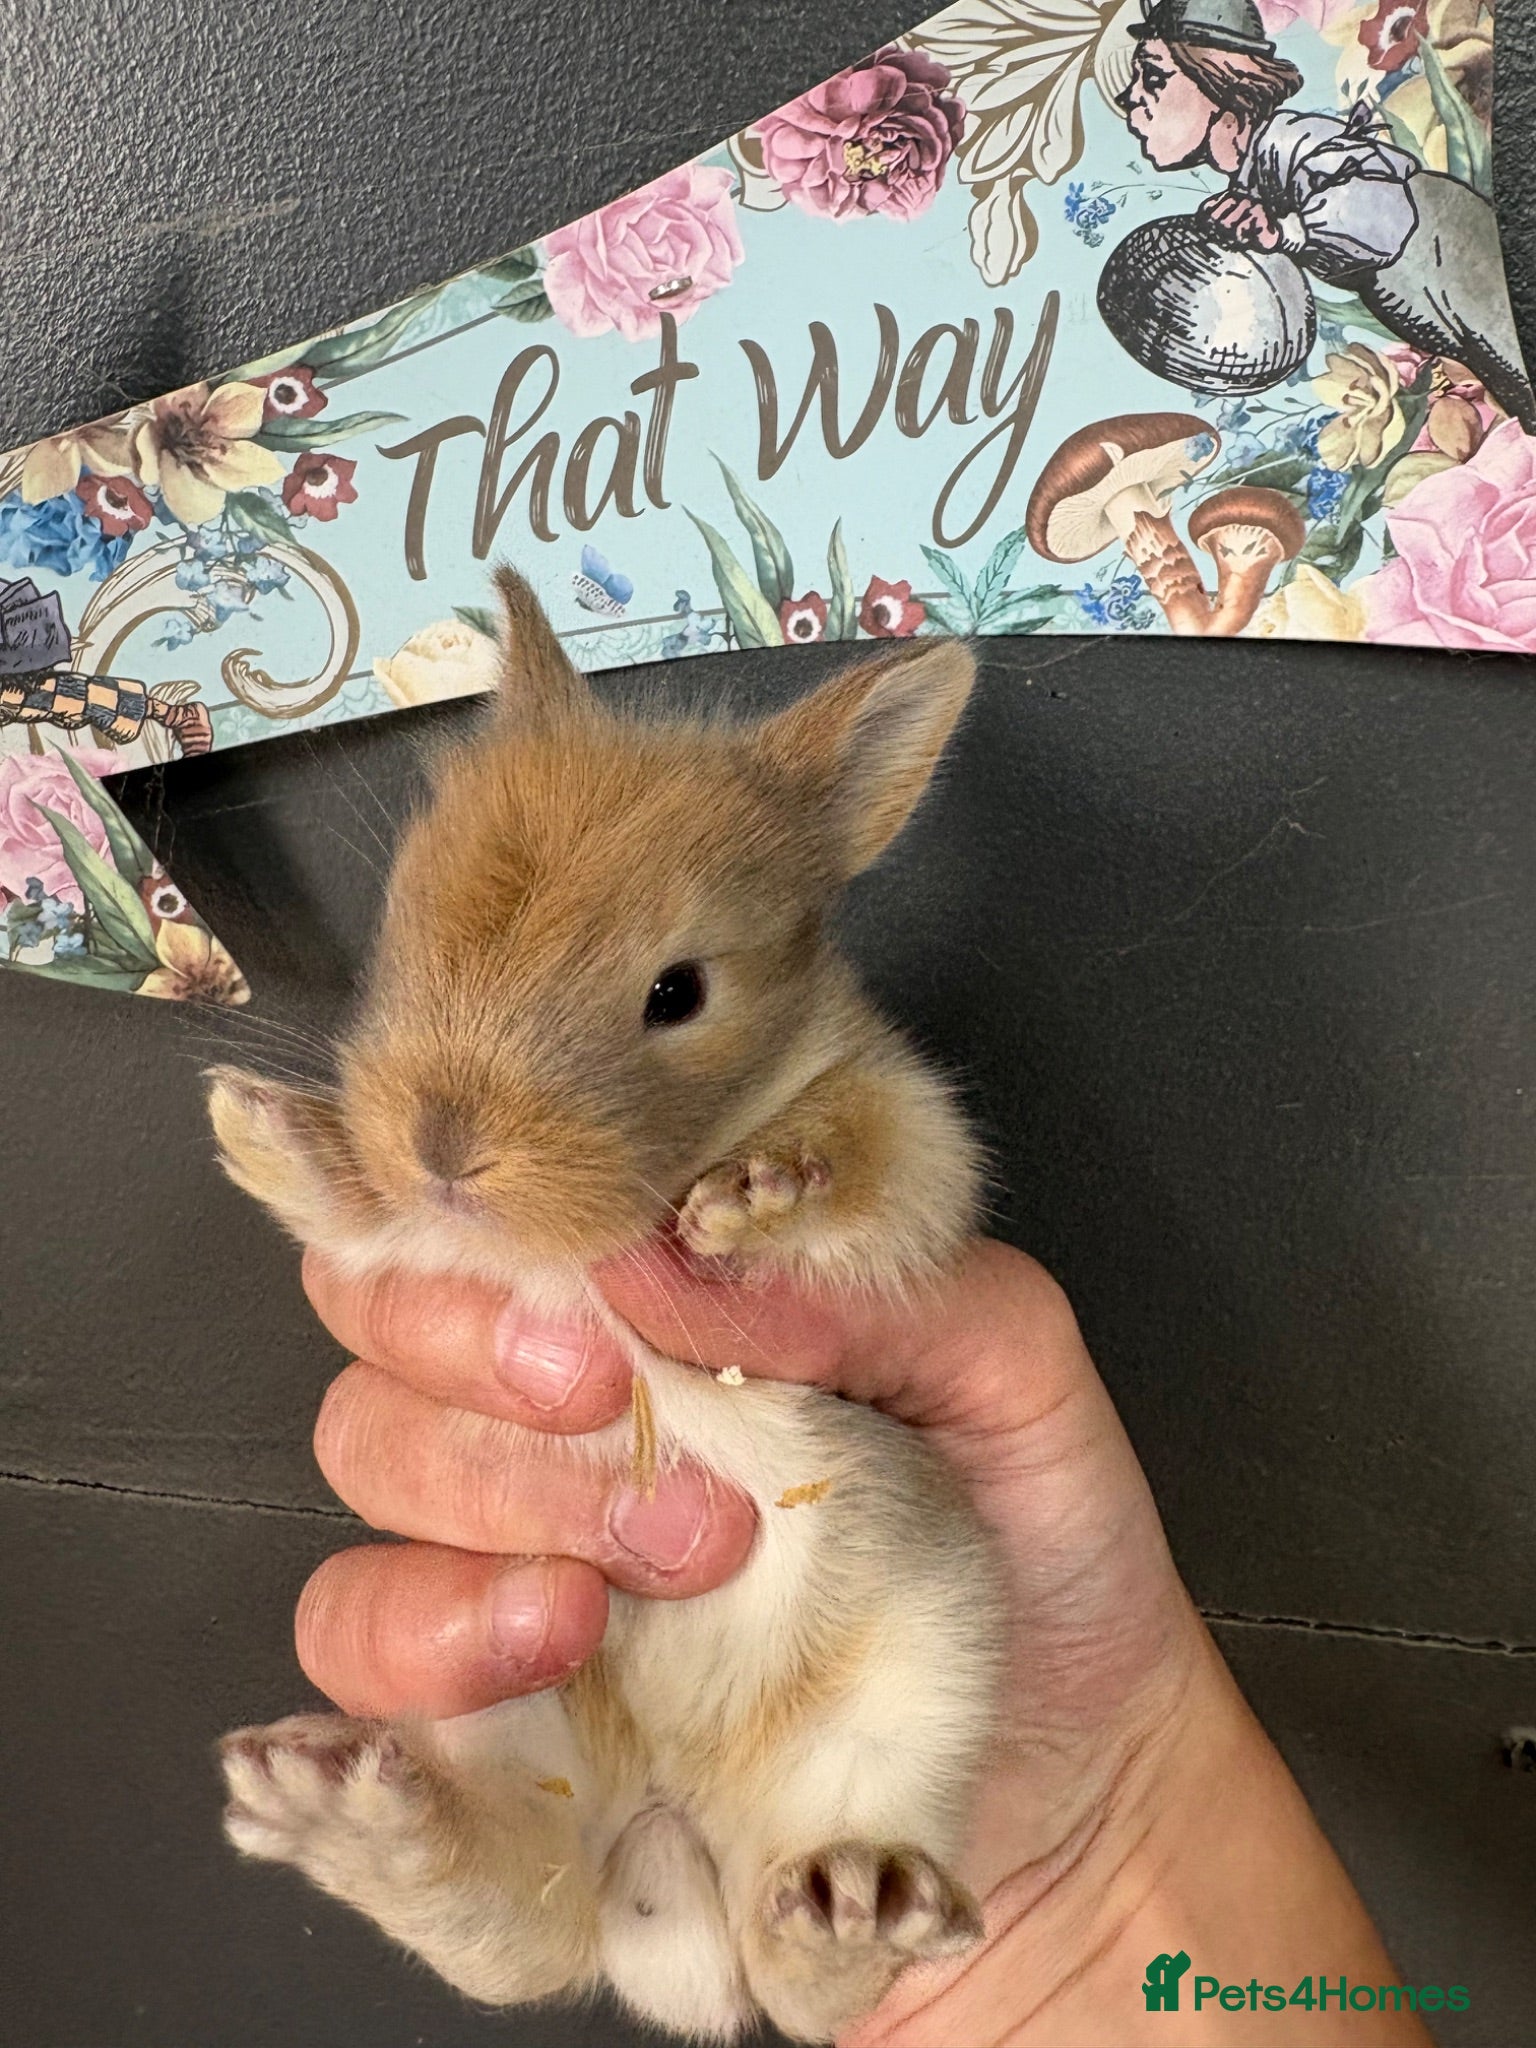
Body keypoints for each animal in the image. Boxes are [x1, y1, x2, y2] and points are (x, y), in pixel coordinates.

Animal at [208, 569, 1006, 2045]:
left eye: (677, 991)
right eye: (411, 921)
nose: (447, 1142)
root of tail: (670, 1836)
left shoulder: (907, 1141)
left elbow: (873, 1164)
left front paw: (756, 1190)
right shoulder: (461, 1259)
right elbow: (379, 1227)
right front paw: (271, 1132)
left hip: (911, 1705)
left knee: (797, 1966)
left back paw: (852, 1910)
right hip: (510, 1716)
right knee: (516, 1917)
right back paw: (343, 1815)